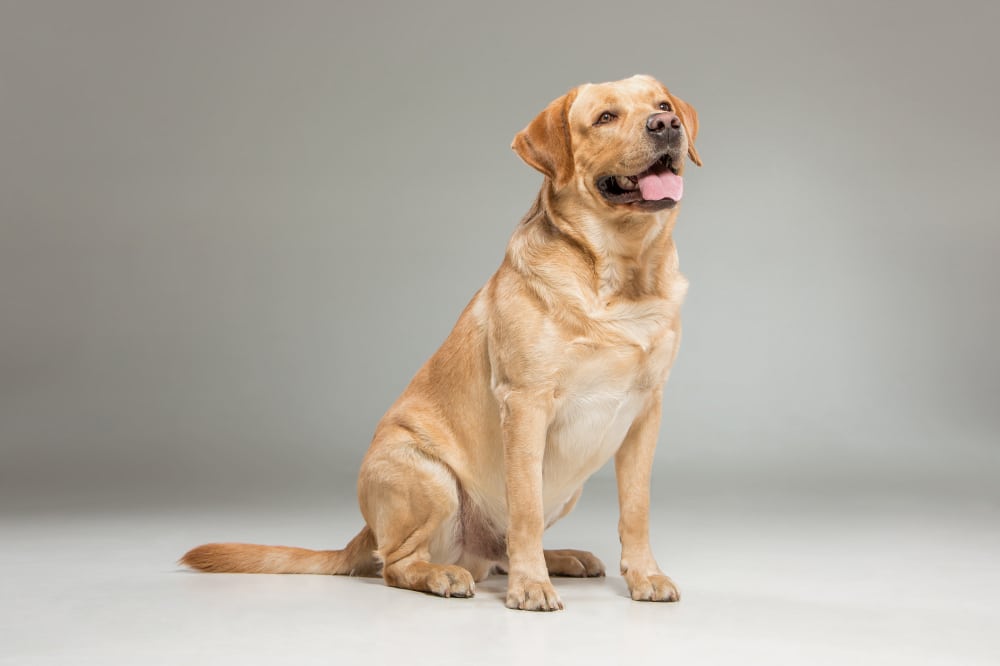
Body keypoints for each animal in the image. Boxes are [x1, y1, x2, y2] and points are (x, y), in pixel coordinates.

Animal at [186, 71, 704, 608]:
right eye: (605, 117)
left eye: (662, 105)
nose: (665, 126)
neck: (622, 277)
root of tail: (366, 532)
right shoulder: (526, 404)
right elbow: (524, 507)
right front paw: (530, 586)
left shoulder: (646, 411)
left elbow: (636, 508)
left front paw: (644, 575)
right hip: (427, 476)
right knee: (399, 563)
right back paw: (444, 575)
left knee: (496, 552)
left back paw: (560, 558)